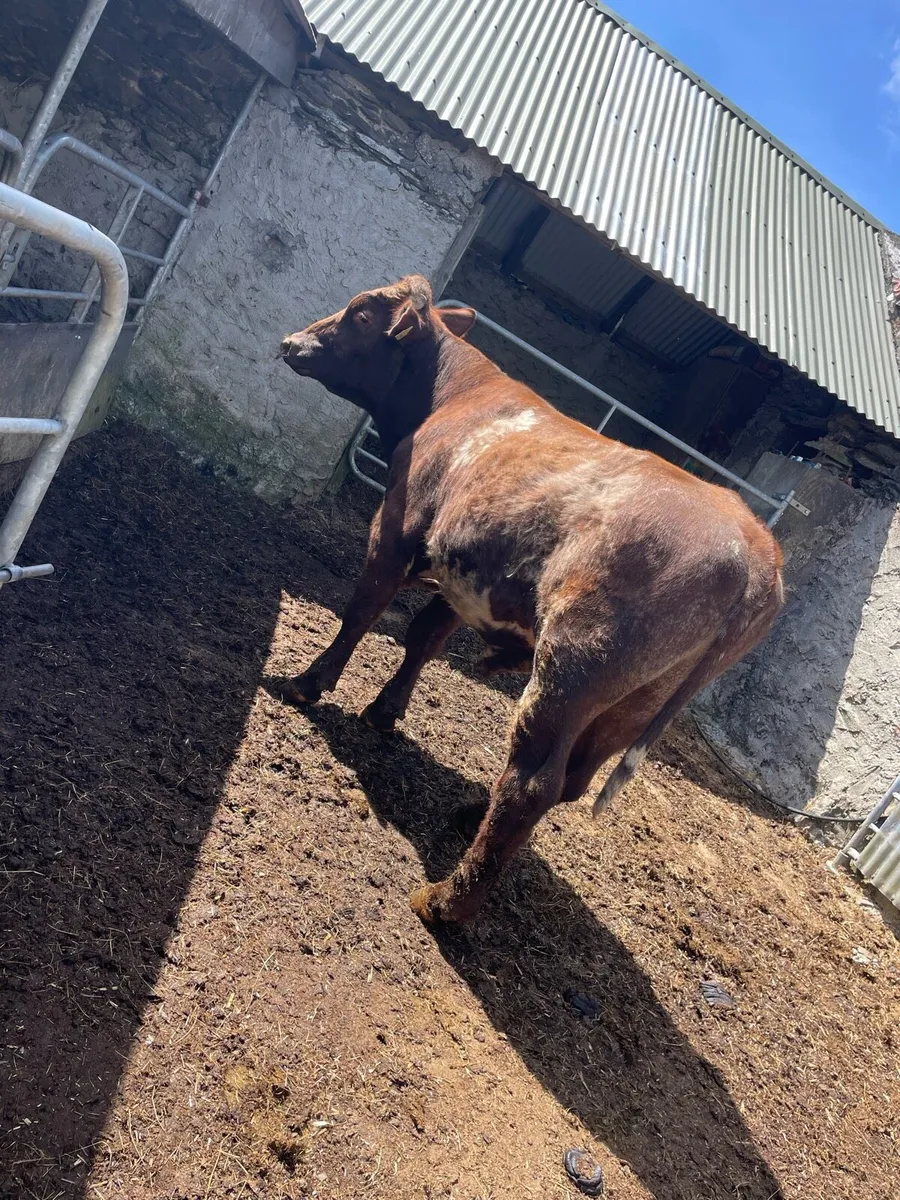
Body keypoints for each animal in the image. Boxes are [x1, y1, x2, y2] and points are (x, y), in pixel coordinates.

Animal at [277, 275, 783, 924]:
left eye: (362, 313)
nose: (291, 343)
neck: (455, 397)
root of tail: (756, 547)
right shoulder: (462, 573)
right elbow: (423, 638)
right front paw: (386, 710)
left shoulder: (395, 529)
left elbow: (363, 610)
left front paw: (309, 683)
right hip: (631, 704)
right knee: (566, 783)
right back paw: (473, 812)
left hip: (571, 670)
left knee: (533, 782)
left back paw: (444, 902)